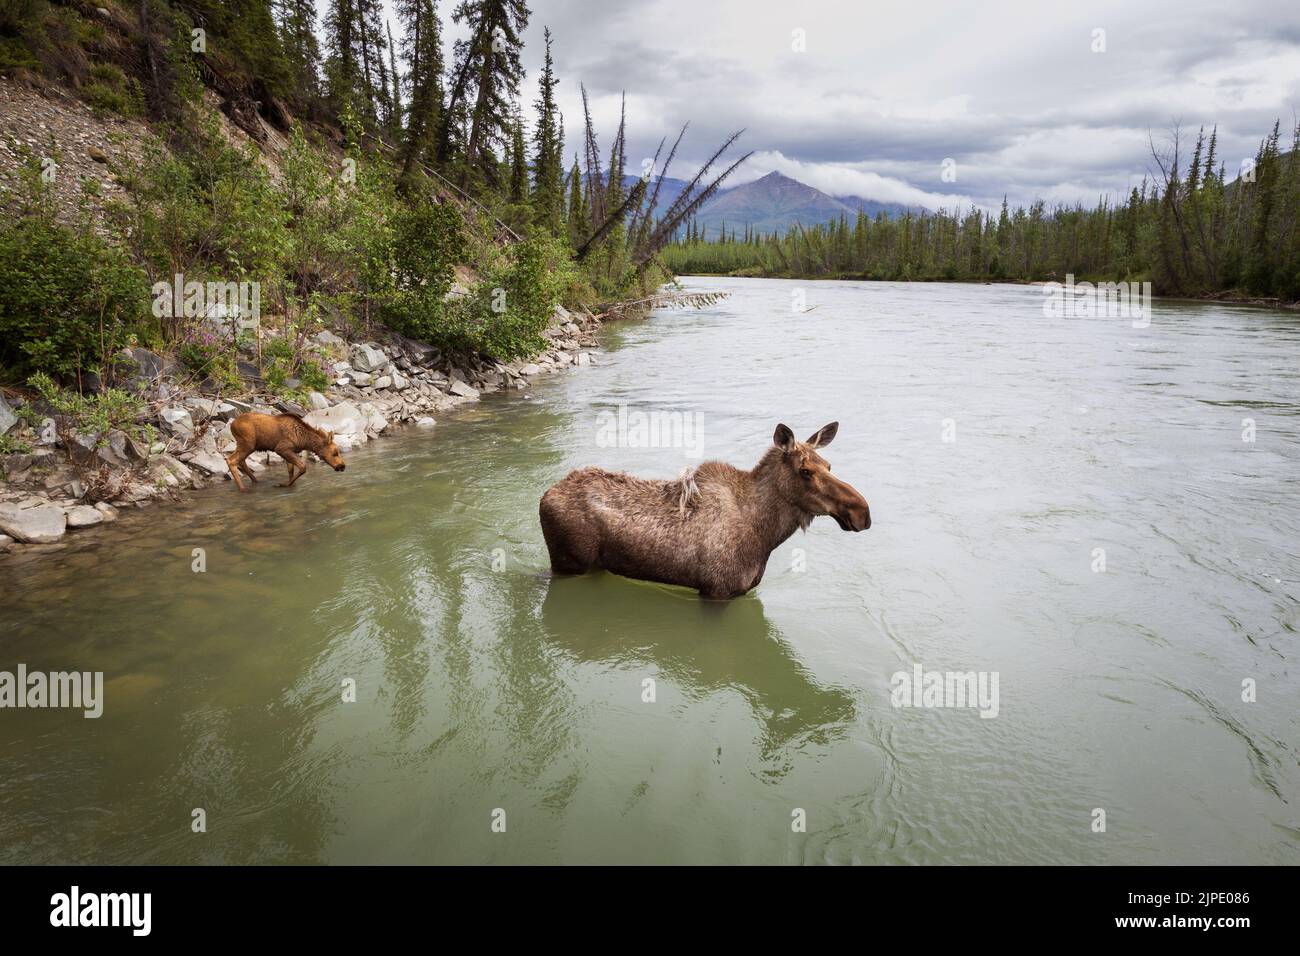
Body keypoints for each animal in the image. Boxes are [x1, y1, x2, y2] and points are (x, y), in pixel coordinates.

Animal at [539, 422, 870, 599]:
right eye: (805, 471)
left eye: (829, 465)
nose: (863, 512)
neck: (765, 536)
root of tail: (545, 495)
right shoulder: (716, 591)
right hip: (569, 564)